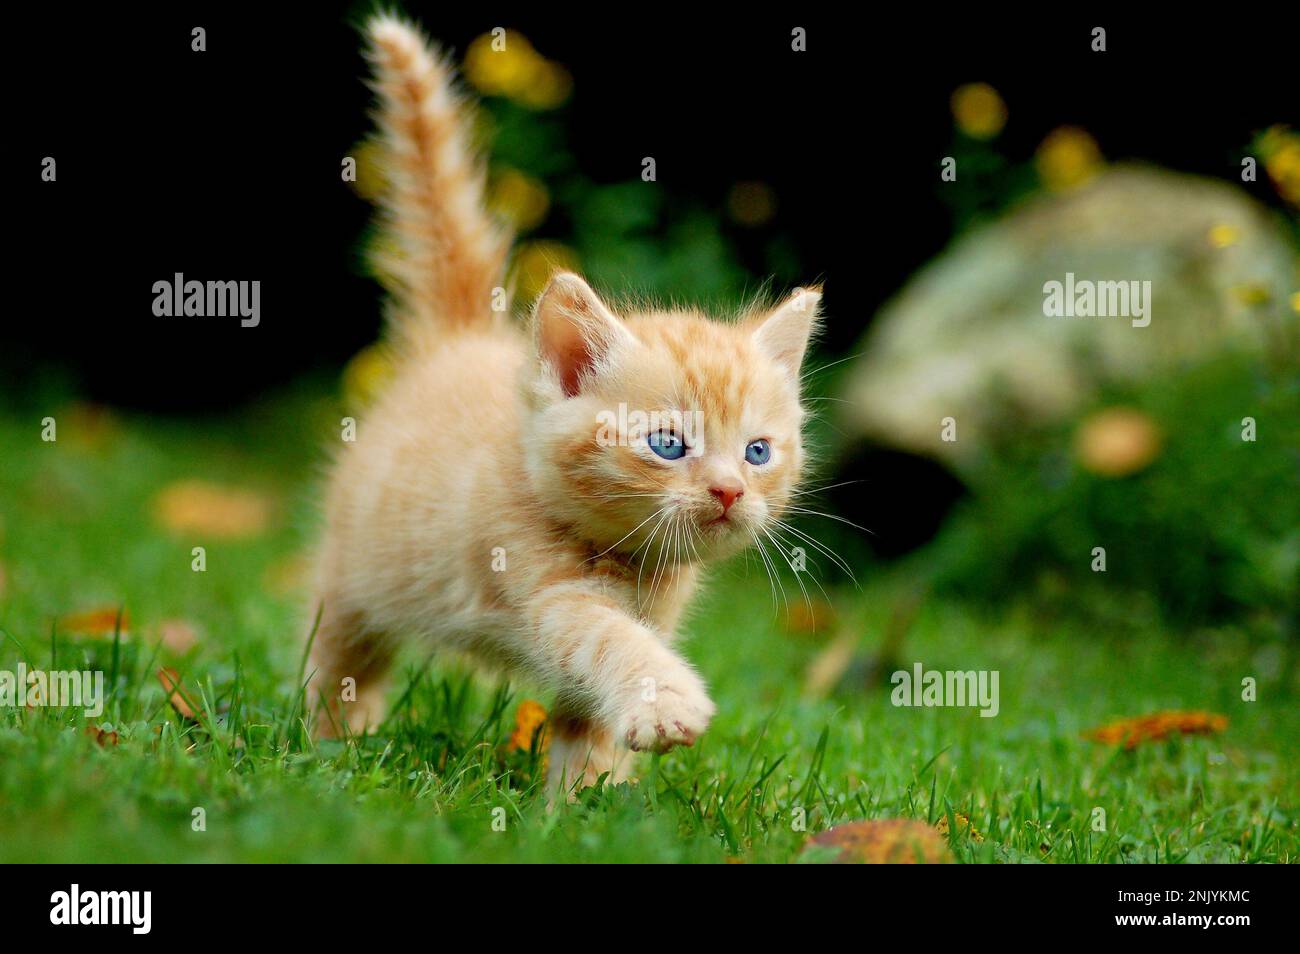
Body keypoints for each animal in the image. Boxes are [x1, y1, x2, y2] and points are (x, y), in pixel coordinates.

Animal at [308, 18, 816, 800]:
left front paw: (586, 799)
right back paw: (328, 743)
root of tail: (459, 339)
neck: (634, 564)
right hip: (356, 571)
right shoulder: (543, 590)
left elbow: (588, 716)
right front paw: (667, 703)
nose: (730, 491)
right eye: (668, 444)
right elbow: (609, 639)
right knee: (338, 658)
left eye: (757, 452)